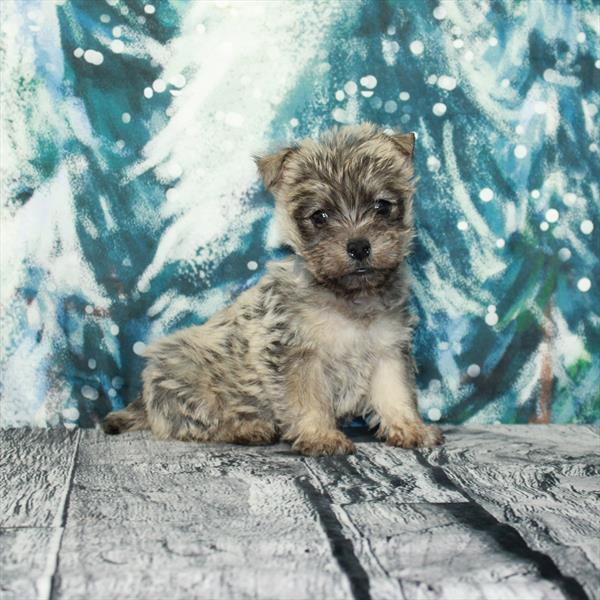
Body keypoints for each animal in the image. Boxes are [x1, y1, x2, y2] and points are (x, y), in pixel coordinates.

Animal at [102, 123, 440, 454]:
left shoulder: (388, 350)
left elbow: (394, 393)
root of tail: (145, 402)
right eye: (319, 216)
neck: (349, 298)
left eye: (382, 206)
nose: (358, 247)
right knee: (203, 422)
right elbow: (308, 400)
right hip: (187, 383)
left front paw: (409, 427)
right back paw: (249, 427)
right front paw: (321, 435)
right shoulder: (298, 355)